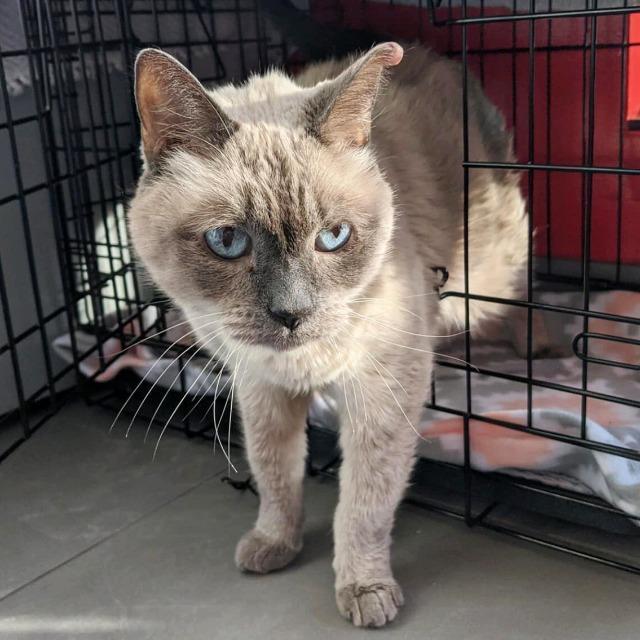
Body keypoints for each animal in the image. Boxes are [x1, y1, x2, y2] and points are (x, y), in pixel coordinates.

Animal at [127, 38, 528, 624]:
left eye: (333, 237)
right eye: (227, 241)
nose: (291, 313)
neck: (300, 364)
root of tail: (440, 57)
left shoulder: (382, 396)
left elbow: (363, 505)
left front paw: (364, 591)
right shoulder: (261, 388)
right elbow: (274, 474)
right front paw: (275, 544)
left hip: (491, 268)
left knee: (519, 303)